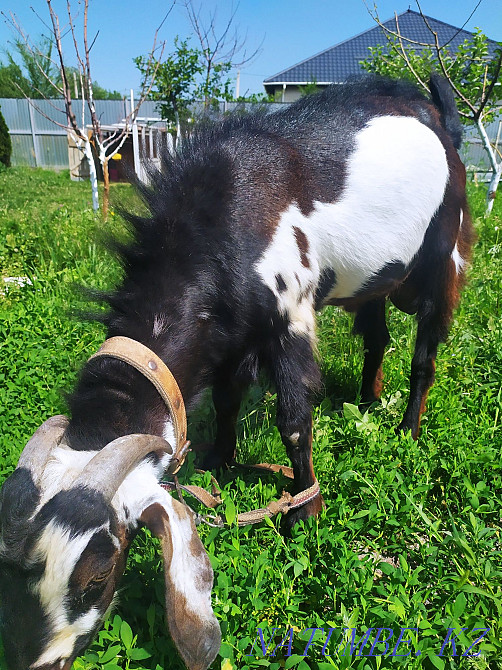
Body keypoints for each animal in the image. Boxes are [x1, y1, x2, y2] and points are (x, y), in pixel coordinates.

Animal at [0, 75, 473, 670]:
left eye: (97, 575)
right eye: (9, 569)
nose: (38, 660)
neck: (216, 223)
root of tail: (438, 113)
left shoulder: (290, 313)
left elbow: (293, 420)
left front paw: (304, 511)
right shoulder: (231, 333)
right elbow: (226, 399)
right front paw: (218, 461)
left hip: (442, 250)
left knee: (424, 351)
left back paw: (407, 429)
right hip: (376, 279)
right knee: (377, 336)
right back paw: (367, 401)